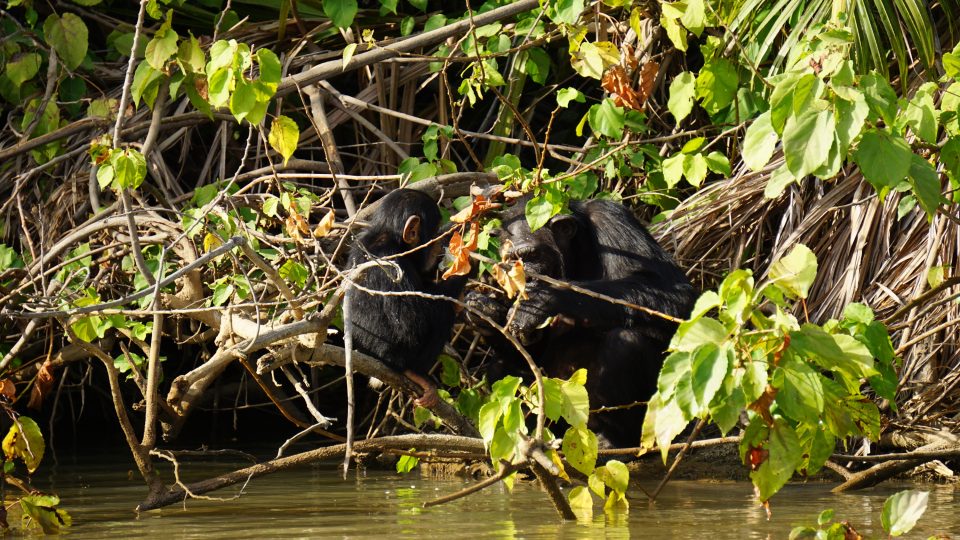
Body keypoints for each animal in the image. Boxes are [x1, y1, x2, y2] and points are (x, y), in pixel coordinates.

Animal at [346, 189, 466, 404]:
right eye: (432, 233)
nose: (436, 246)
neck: (392, 239)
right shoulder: (392, 266)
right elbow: (411, 326)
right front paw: (465, 266)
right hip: (395, 357)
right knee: (442, 315)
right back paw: (415, 374)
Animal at [474, 196, 692, 446]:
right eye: (512, 260)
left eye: (531, 255)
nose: (524, 277)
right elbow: (530, 352)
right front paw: (483, 310)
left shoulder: (612, 218)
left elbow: (674, 291)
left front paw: (547, 297)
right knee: (499, 368)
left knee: (626, 341)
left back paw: (612, 438)